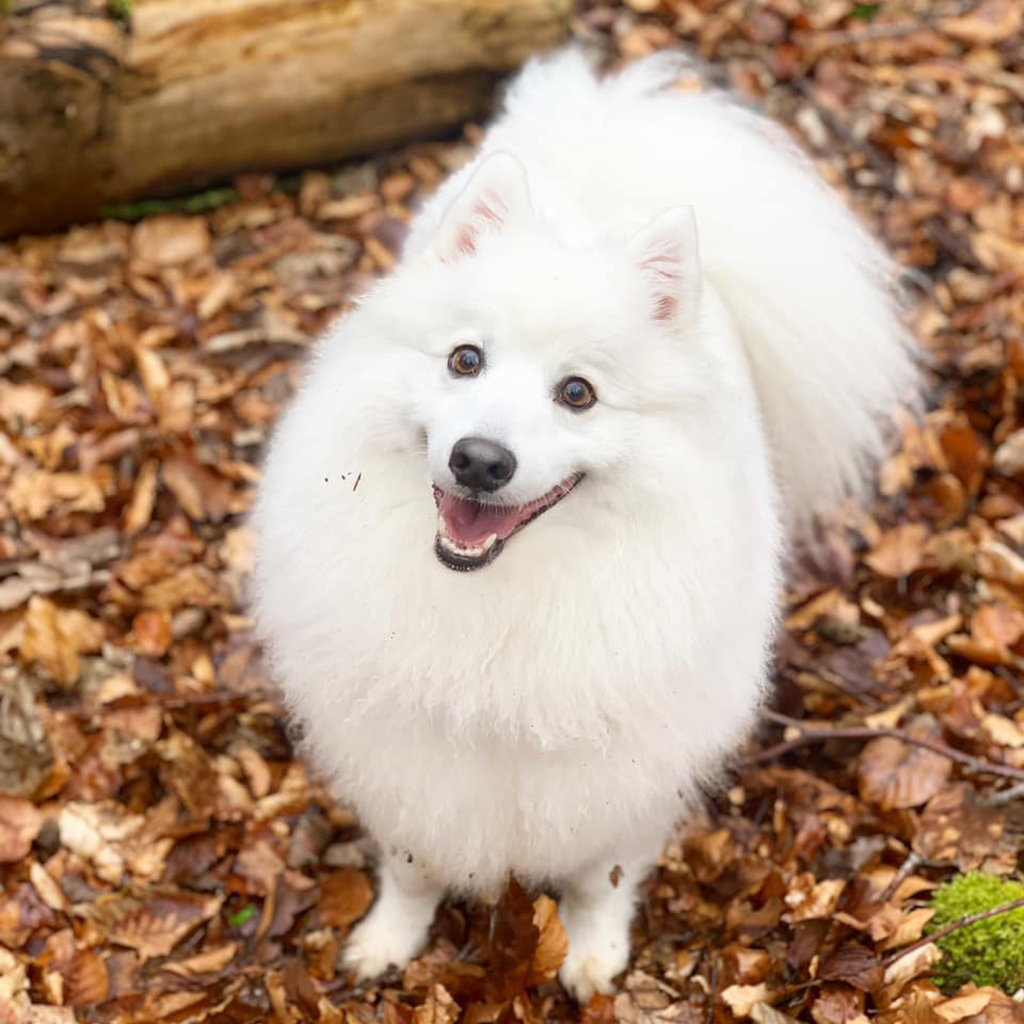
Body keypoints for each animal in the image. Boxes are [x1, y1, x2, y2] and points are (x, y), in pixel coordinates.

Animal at [249, 48, 921, 999]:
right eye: (465, 360)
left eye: (578, 394)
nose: (479, 460)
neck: (506, 591)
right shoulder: (409, 754)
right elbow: (411, 862)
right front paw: (388, 938)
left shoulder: (625, 763)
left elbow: (602, 874)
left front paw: (595, 956)